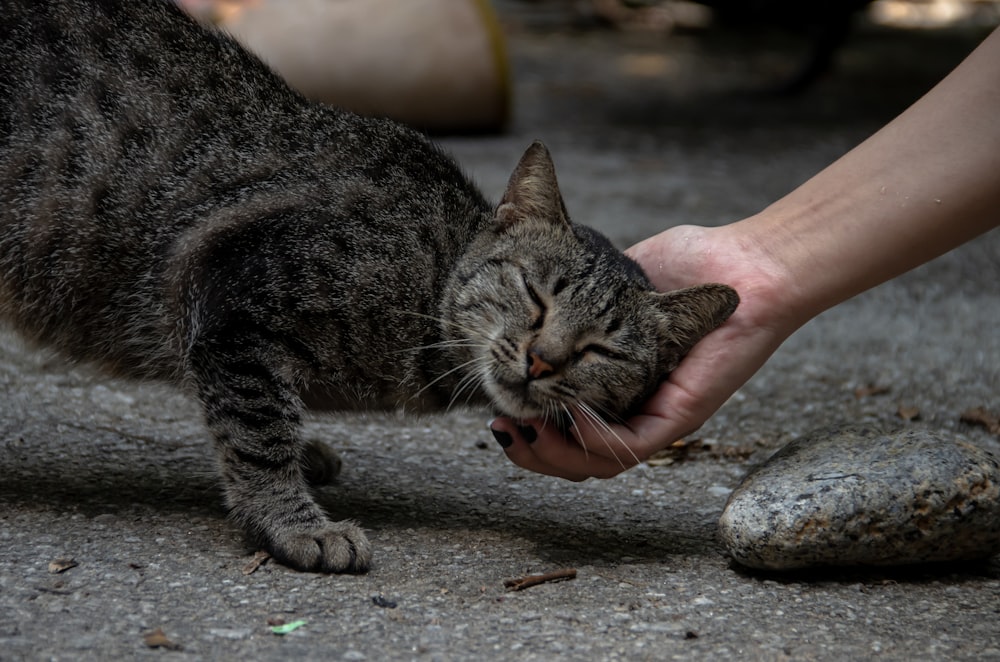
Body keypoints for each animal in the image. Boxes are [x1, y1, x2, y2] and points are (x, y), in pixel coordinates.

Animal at [0, 0, 736, 572]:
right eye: (536, 294)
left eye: (601, 350)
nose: (542, 358)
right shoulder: (230, 293)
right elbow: (258, 428)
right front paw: (295, 523)